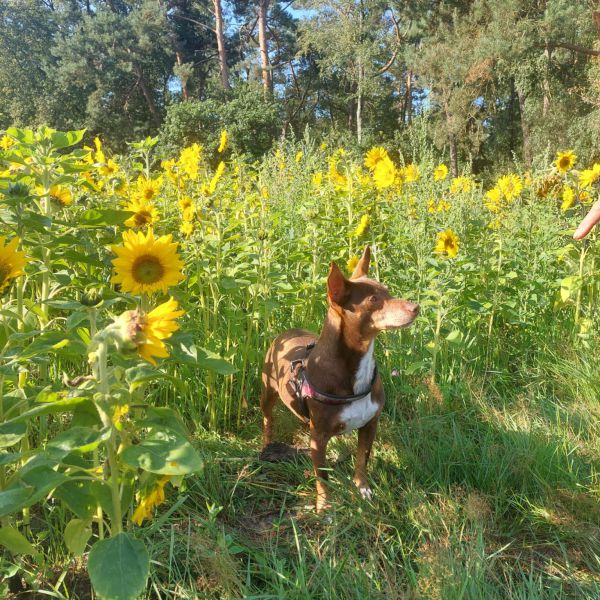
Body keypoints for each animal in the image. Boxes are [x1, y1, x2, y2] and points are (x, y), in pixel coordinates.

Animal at [260, 246, 420, 512]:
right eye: (373, 300)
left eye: (387, 290)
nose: (416, 306)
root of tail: (286, 333)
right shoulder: (318, 439)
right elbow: (322, 476)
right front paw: (325, 507)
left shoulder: (370, 424)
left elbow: (362, 459)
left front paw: (362, 489)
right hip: (267, 393)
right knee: (267, 420)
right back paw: (266, 445)